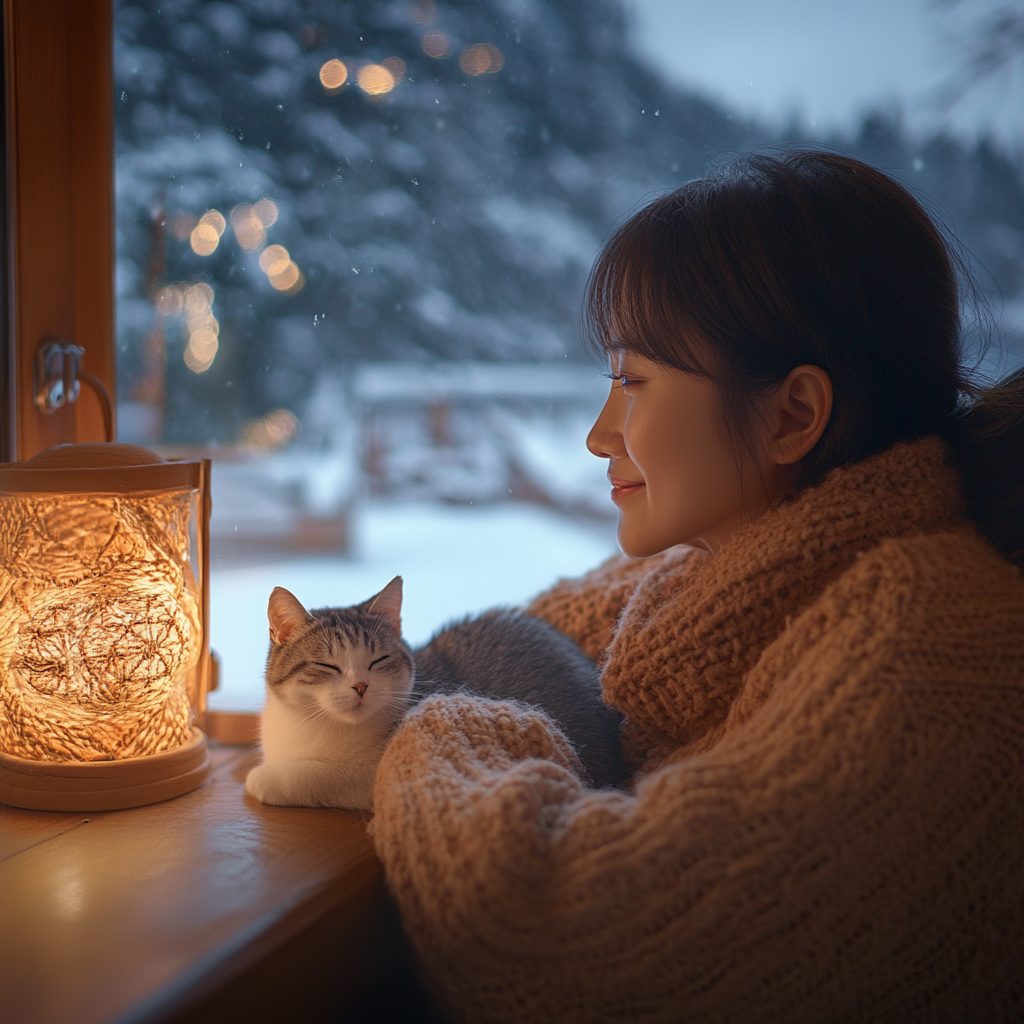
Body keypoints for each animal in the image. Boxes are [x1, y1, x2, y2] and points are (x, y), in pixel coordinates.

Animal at [243, 577, 622, 806]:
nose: (360, 685)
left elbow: (322, 775)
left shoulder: (372, 778)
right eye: (327, 665)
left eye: (378, 660)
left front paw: (265, 778)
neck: (310, 724)